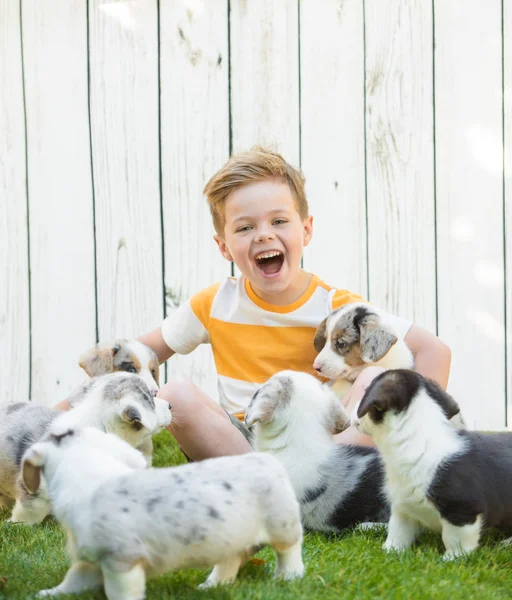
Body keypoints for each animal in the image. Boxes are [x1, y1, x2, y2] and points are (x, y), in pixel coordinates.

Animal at [23, 426, 304, 600]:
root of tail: (270, 461)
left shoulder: (123, 561)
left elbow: (120, 592)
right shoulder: (88, 560)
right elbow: (72, 580)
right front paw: (47, 594)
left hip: (283, 526)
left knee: (289, 551)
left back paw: (288, 577)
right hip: (232, 539)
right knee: (230, 560)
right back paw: (210, 585)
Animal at [354, 368, 512, 560]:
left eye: (365, 391)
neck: (414, 440)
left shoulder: (462, 511)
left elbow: (454, 540)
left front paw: (451, 559)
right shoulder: (402, 508)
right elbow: (397, 532)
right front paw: (389, 551)